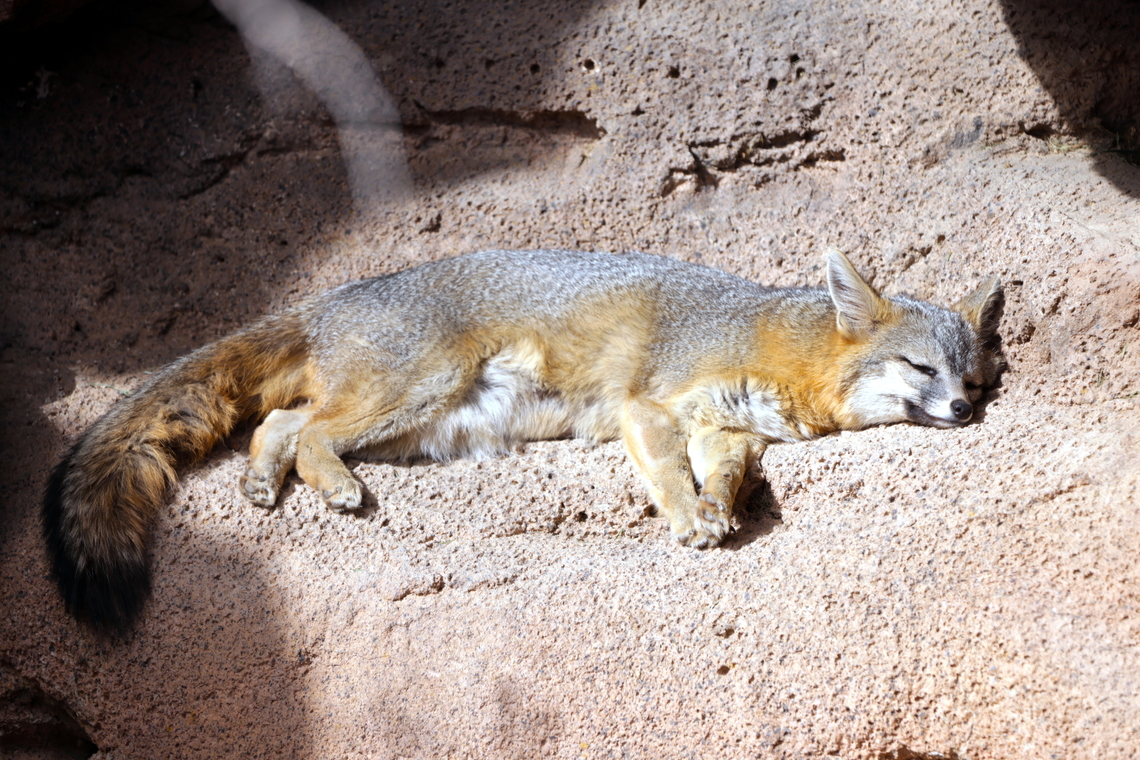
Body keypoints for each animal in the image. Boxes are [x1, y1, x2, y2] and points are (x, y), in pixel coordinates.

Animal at [43, 247, 1002, 631]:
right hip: (419, 392)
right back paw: (329, 486)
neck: (776, 342)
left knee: (282, 421)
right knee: (308, 426)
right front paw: (688, 520)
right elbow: (666, 470)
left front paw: (720, 510)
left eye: (973, 379)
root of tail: (332, 298)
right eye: (921, 369)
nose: (964, 414)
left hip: (427, 426)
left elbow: (723, 473)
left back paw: (264, 481)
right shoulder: (648, 405)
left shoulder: (726, 429)